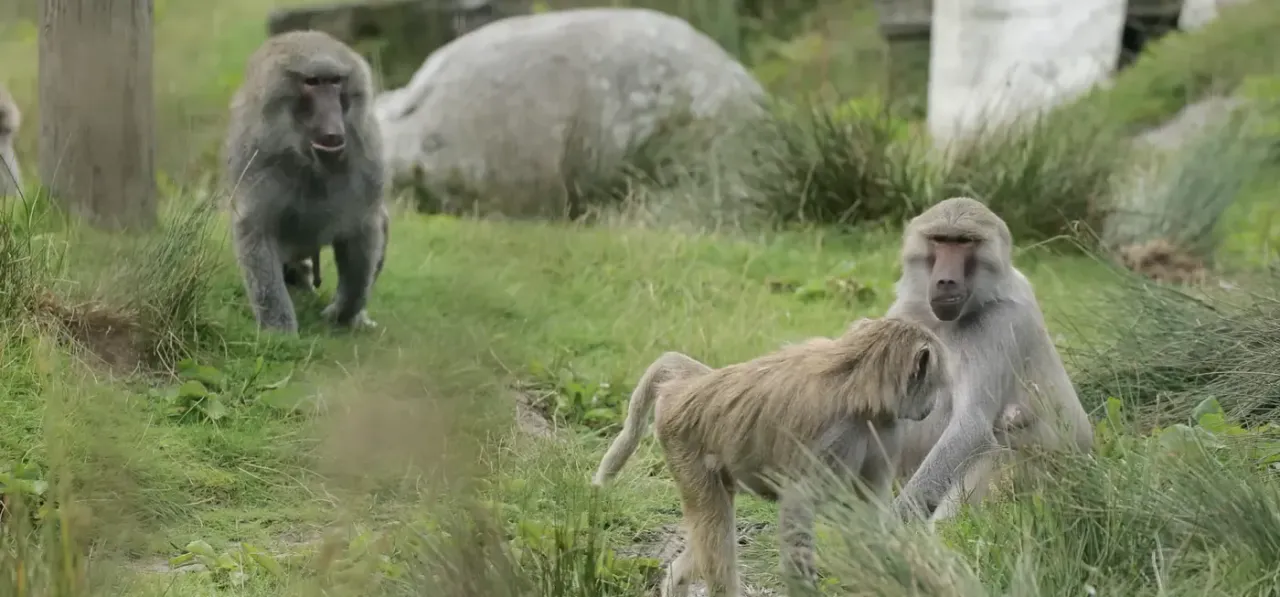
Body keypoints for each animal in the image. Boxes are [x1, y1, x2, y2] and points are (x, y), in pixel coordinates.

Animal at [222, 30, 388, 334]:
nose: (333, 130)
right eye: (312, 83)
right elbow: (255, 230)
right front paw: (280, 331)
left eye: (335, 81)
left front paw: (344, 313)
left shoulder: (364, 153)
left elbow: (362, 228)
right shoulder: (258, 158)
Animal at [592, 317, 952, 597]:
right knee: (715, 526)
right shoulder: (836, 435)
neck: (857, 378)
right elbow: (797, 508)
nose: (931, 405)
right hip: (681, 442)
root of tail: (687, 388)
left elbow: (867, 512)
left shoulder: (886, 430)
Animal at [884, 196, 1093, 525]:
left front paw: (890, 520)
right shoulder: (904, 315)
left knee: (993, 449)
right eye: (940, 239)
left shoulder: (999, 322)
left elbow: (971, 427)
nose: (945, 281)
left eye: (964, 242)